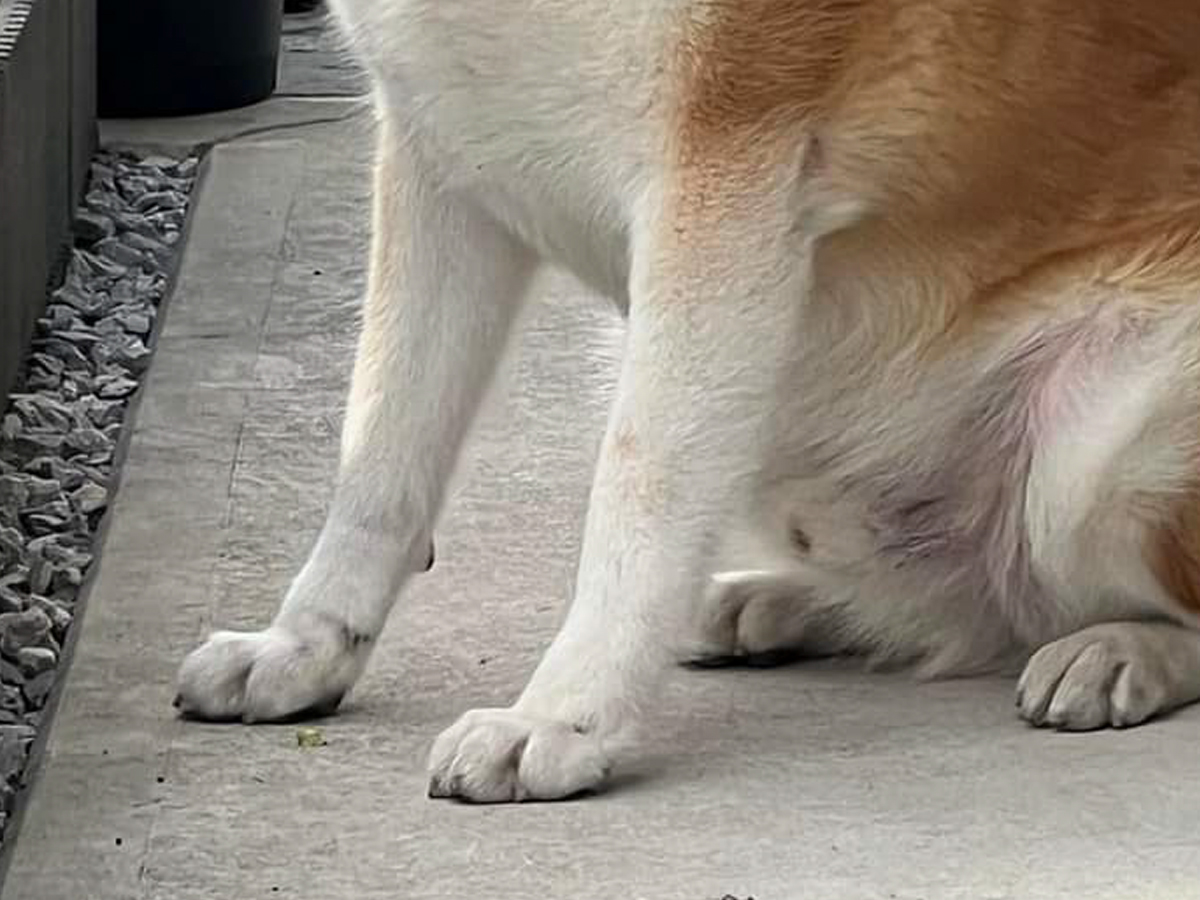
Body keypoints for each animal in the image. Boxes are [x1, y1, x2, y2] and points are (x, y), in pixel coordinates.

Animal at [174, 0, 1200, 801]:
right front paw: (303, 648)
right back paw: (772, 602)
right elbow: (379, 458)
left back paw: (1121, 651)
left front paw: (562, 717)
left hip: (1095, 446)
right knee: (969, 603)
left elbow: (638, 493)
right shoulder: (436, 161)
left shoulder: (719, 183)